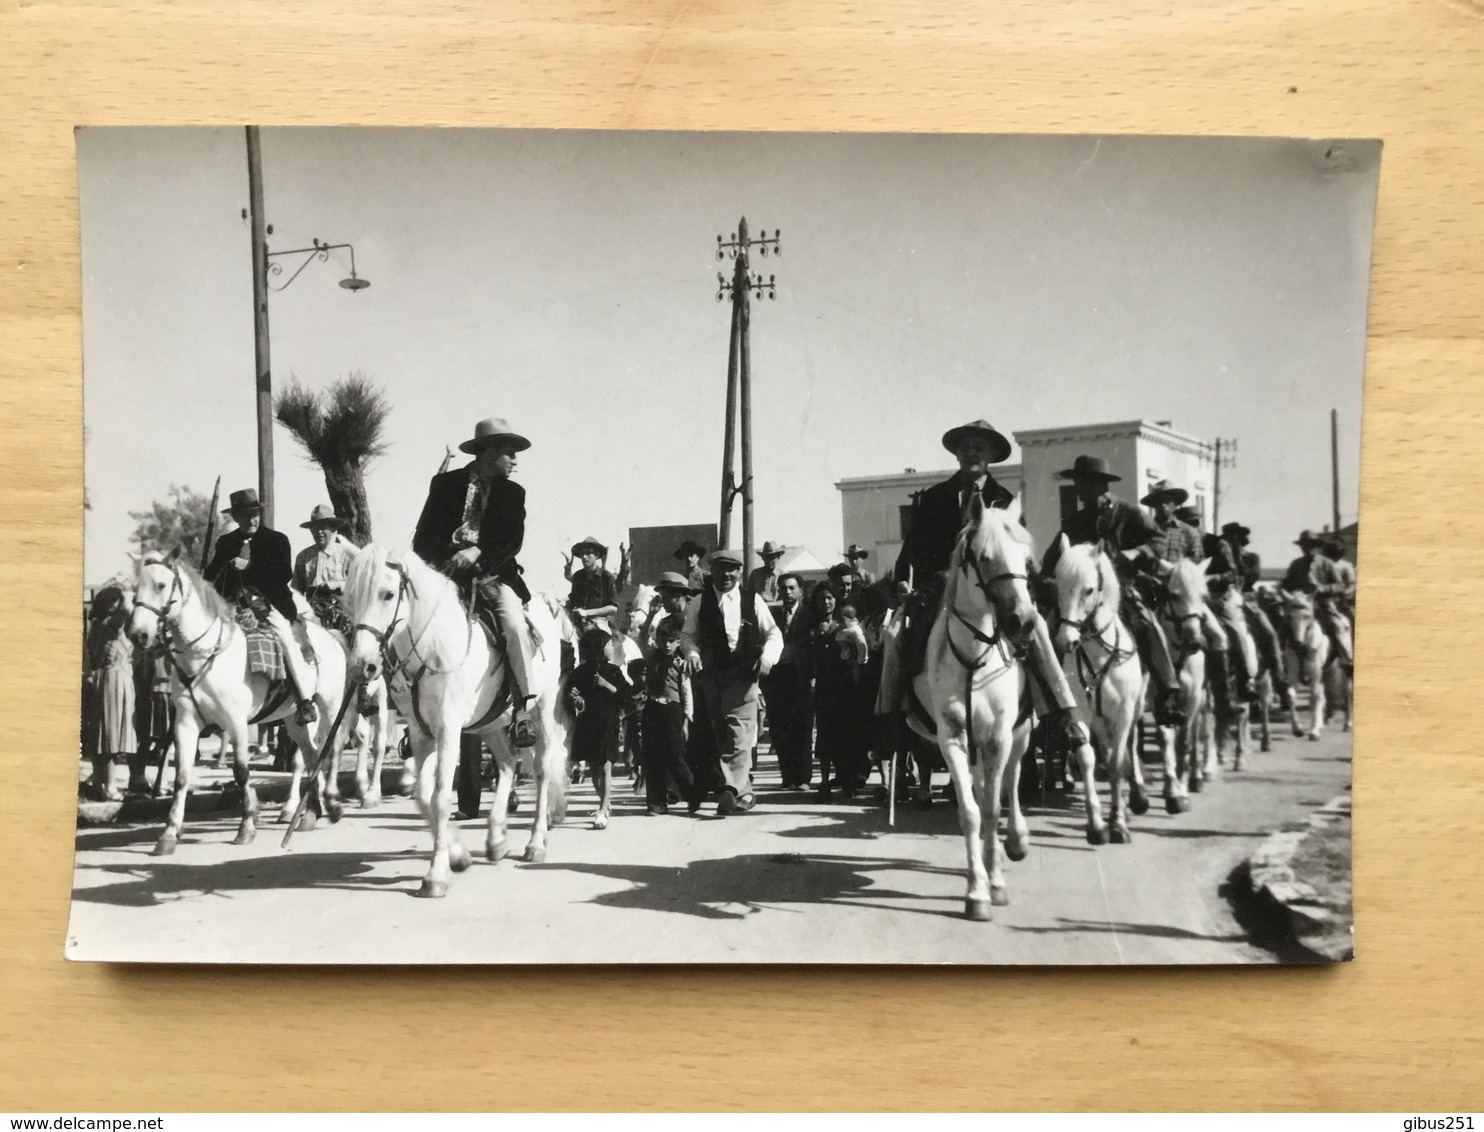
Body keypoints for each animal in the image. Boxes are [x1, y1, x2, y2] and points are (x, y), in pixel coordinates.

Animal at [126, 554, 347, 854]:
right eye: (135, 587)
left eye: (161, 585)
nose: (137, 634)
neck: (206, 655)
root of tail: (331, 635)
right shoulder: (186, 722)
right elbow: (182, 776)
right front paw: (169, 834)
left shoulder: (236, 722)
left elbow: (241, 771)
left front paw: (247, 827)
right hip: (294, 720)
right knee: (312, 755)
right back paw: (310, 814)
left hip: (330, 706)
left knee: (332, 751)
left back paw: (333, 803)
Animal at [341, 545, 566, 896]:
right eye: (350, 596)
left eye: (388, 594)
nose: (361, 666)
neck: (432, 647)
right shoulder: (421, 732)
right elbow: (425, 796)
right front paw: (457, 855)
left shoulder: (448, 728)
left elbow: (441, 797)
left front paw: (436, 876)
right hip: (490, 722)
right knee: (505, 763)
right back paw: (496, 839)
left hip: (541, 709)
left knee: (542, 770)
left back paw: (535, 843)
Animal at [902, 495, 1044, 919]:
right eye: (983, 557)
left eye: (1026, 559)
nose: (1023, 622)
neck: (974, 656)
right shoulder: (952, 737)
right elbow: (971, 811)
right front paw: (976, 890)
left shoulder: (998, 736)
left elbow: (994, 808)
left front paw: (994, 883)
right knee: (983, 790)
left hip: (1020, 734)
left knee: (1012, 780)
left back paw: (1016, 840)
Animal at [1050, 545, 1139, 848]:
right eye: (1057, 586)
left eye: (1089, 590)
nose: (1066, 641)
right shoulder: (1080, 714)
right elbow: (1087, 758)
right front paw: (1097, 825)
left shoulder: (1124, 713)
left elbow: (1117, 765)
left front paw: (1119, 825)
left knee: (1130, 751)